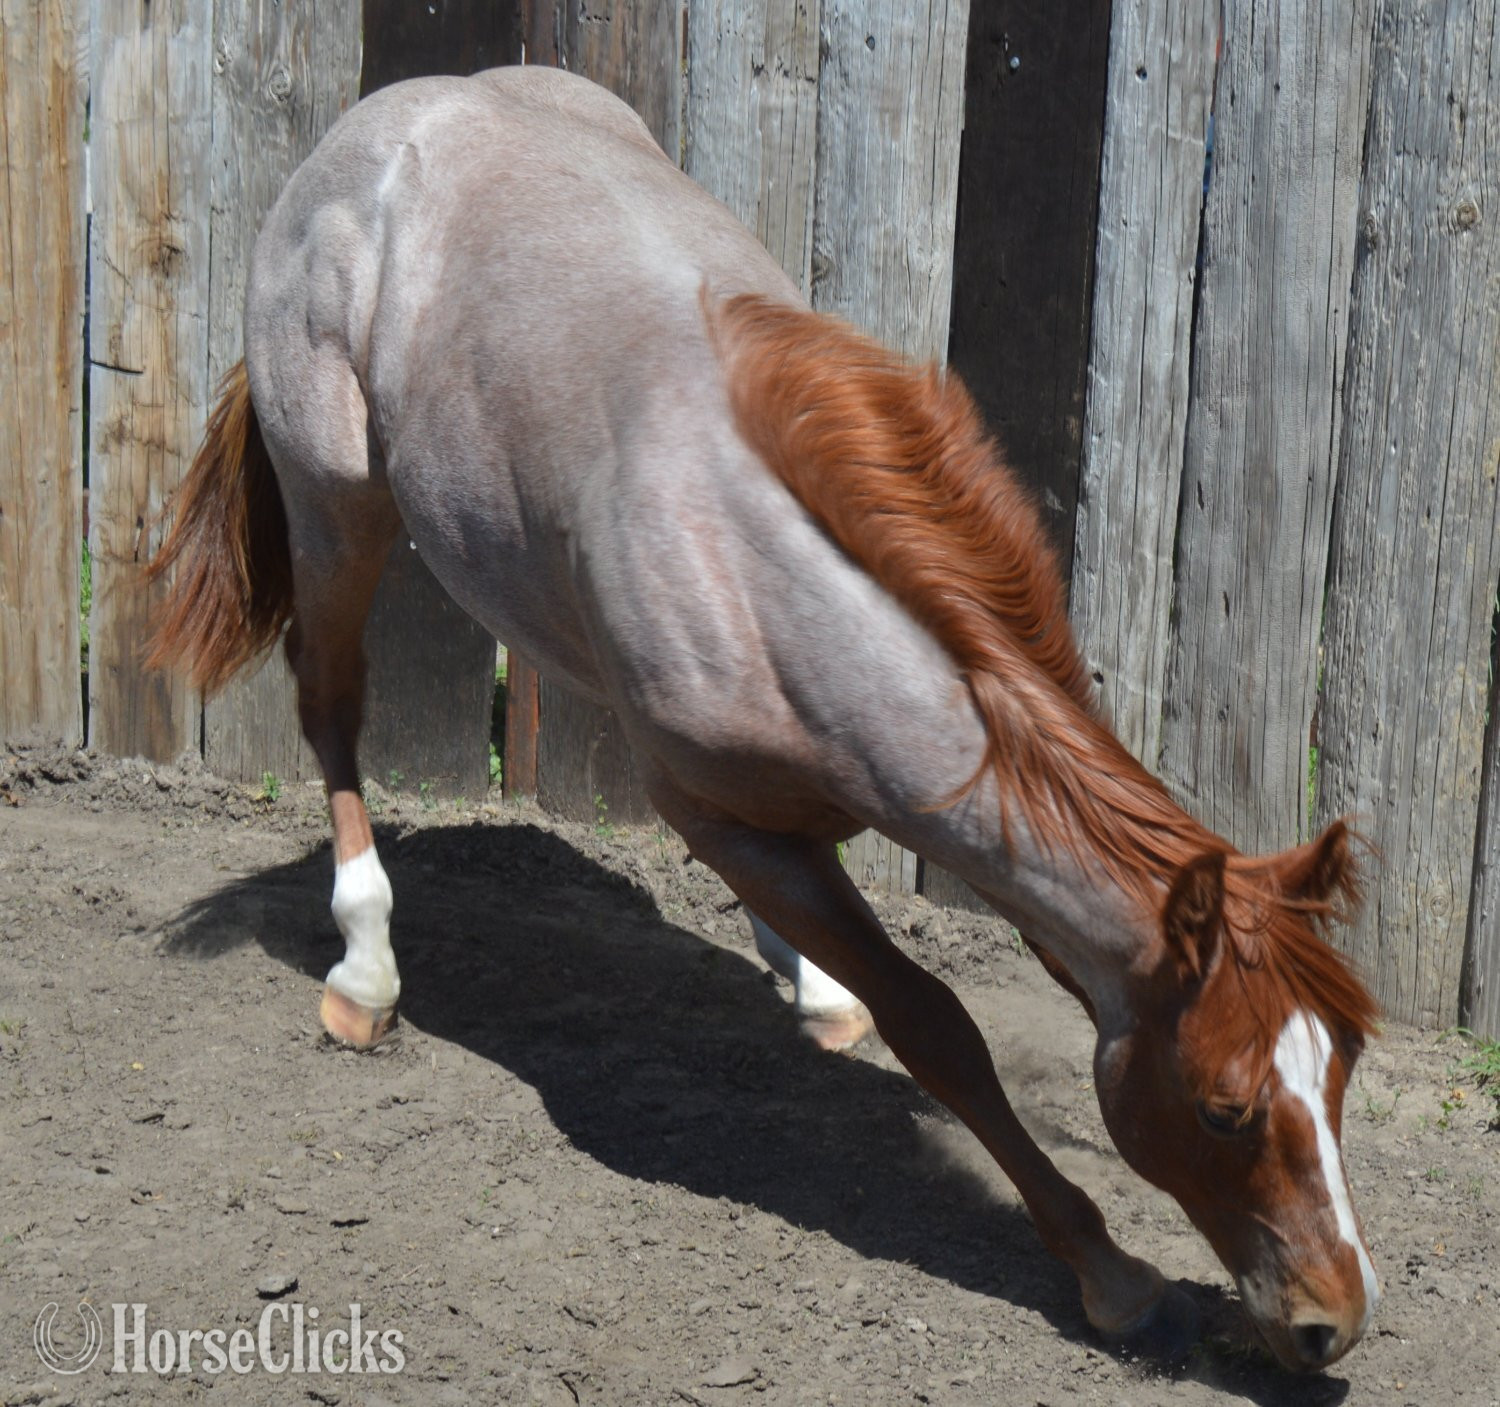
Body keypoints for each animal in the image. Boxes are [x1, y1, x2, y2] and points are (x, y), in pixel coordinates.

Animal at [147, 65, 1380, 1372]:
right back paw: (367, 967)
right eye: (1223, 1108)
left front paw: (818, 983)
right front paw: (1109, 1270)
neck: (751, 554)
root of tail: (373, 125)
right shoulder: (717, 812)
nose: (1334, 1319)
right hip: (338, 506)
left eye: (1341, 1070)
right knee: (330, 699)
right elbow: (938, 1026)